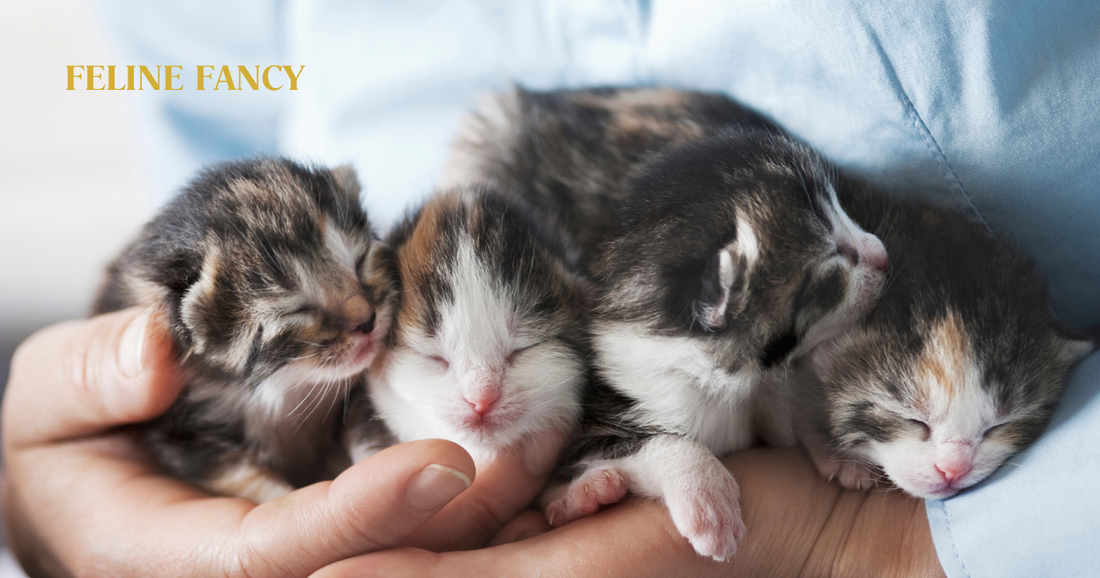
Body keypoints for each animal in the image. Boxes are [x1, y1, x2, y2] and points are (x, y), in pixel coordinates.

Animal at [94, 156, 396, 499]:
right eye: (298, 308)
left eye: (360, 262)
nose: (368, 320)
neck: (286, 387)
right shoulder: (179, 428)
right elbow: (231, 471)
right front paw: (277, 496)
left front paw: (374, 449)